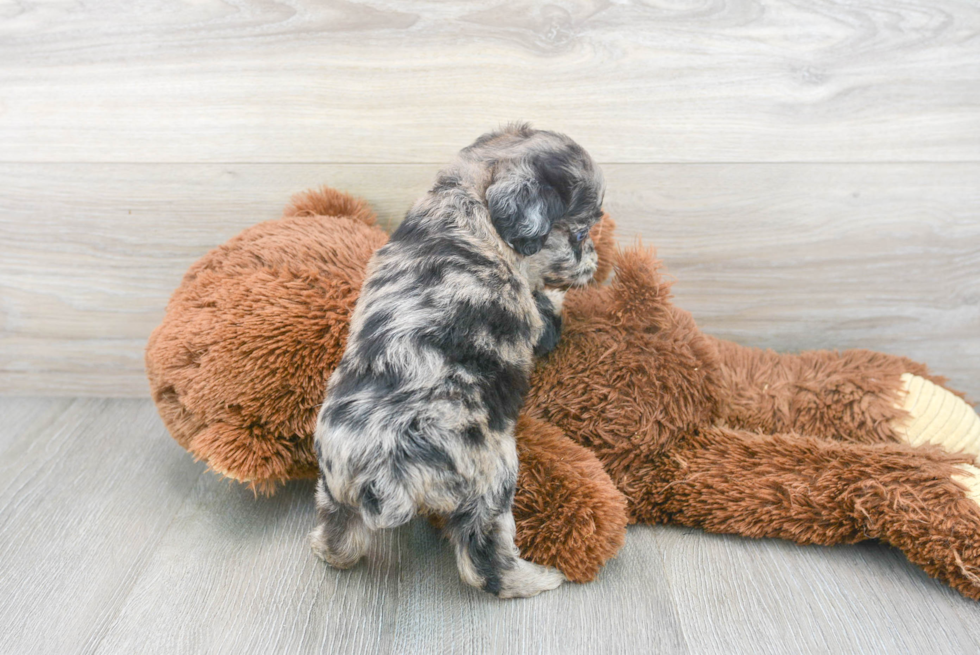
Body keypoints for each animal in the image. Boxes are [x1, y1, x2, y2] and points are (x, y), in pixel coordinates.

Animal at [314, 124, 604, 600]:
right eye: (580, 236)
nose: (596, 260)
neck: (467, 199)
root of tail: (386, 472)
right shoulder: (533, 313)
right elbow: (548, 311)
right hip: (492, 479)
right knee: (483, 559)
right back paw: (537, 579)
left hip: (335, 485)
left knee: (340, 535)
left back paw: (327, 550)